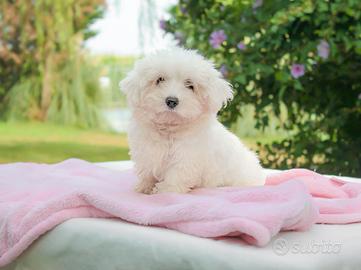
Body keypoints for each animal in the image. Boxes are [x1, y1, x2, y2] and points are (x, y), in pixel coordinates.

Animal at [121, 47, 264, 193]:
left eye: (190, 85)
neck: (169, 129)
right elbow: (147, 171)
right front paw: (145, 186)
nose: (171, 101)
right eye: (159, 80)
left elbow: (177, 174)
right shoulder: (146, 151)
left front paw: (166, 189)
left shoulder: (187, 156)